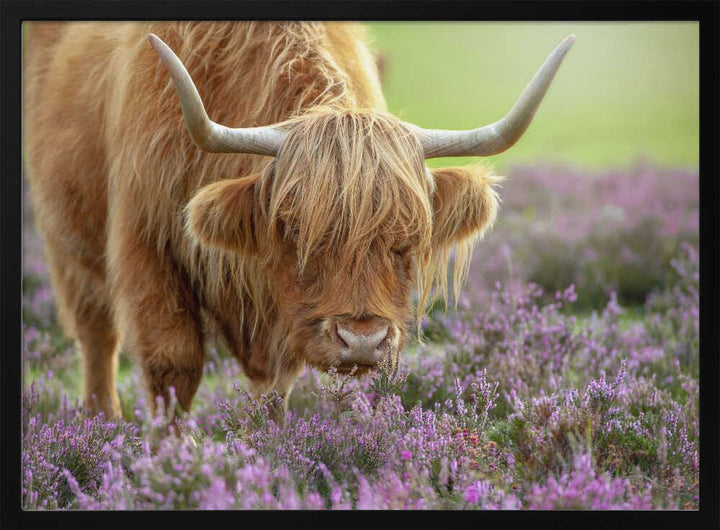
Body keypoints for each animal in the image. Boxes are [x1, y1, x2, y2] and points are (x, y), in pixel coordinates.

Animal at [23, 21, 574, 421]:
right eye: (293, 230)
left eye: (407, 239)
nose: (362, 340)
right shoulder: (146, 245)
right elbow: (172, 367)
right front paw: (171, 465)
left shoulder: (279, 314)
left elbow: (273, 387)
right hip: (66, 242)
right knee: (97, 338)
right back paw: (103, 425)